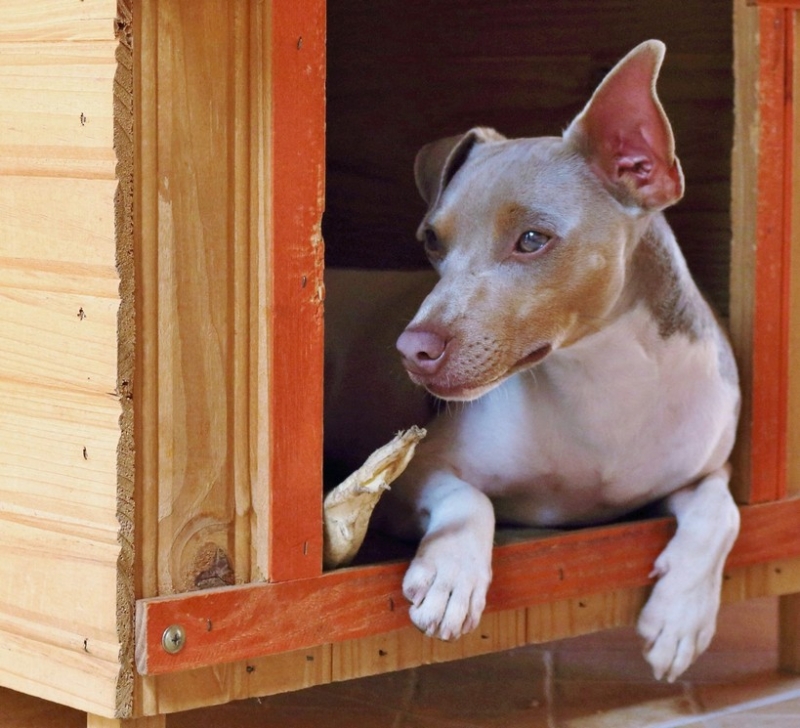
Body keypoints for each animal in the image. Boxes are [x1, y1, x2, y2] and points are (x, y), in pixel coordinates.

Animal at [322, 42, 740, 684]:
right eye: (432, 242)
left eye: (533, 239)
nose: (412, 349)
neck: (600, 383)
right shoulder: (407, 480)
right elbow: (469, 498)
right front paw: (451, 575)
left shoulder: (701, 470)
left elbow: (725, 511)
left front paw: (682, 614)